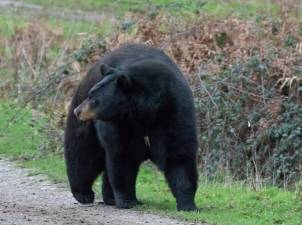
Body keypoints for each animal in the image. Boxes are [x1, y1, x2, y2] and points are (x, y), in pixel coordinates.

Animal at [64, 43, 198, 211]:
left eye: (94, 99)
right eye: (90, 94)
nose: (78, 111)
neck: (146, 112)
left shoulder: (174, 112)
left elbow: (178, 155)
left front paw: (188, 205)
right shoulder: (121, 124)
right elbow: (123, 155)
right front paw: (126, 200)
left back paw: (110, 197)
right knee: (83, 149)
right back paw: (83, 193)